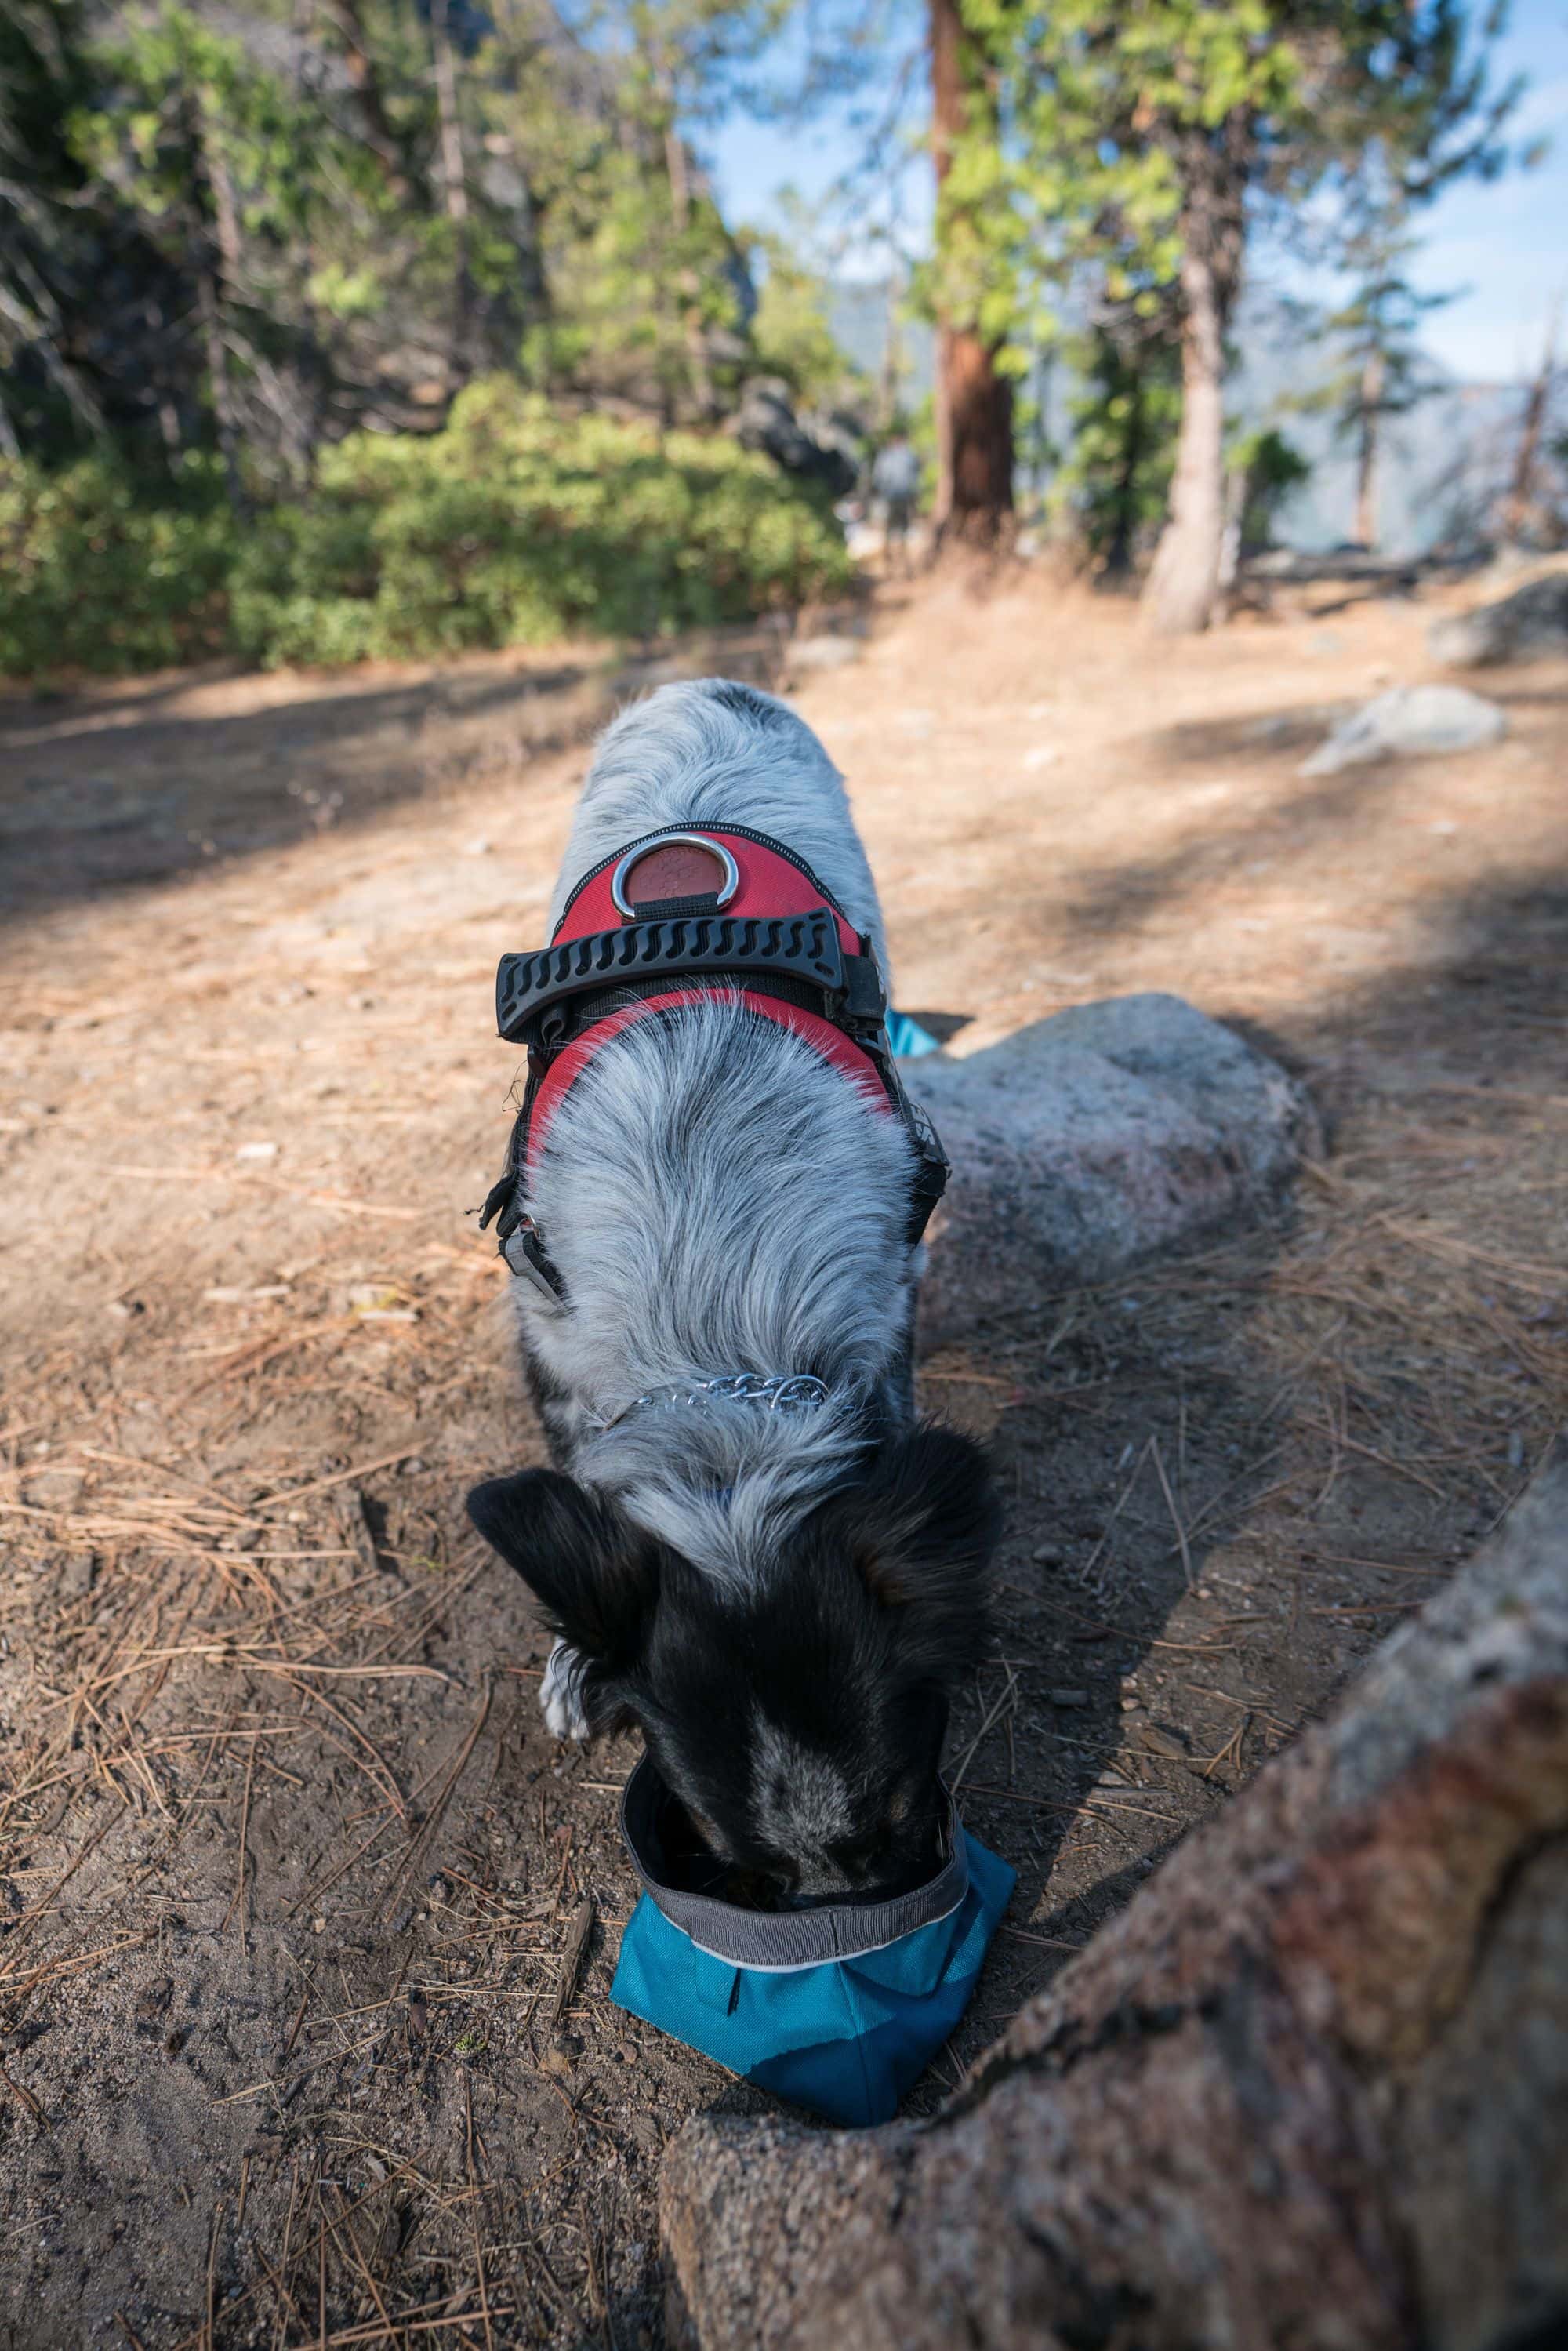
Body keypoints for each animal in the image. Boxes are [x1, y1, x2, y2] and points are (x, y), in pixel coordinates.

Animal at [472, 681, 1001, 1909]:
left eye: (903, 1807)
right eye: (719, 1845)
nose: (836, 1915)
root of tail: (707, 686)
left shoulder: (887, 1315)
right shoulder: (547, 1333)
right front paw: (577, 1661)